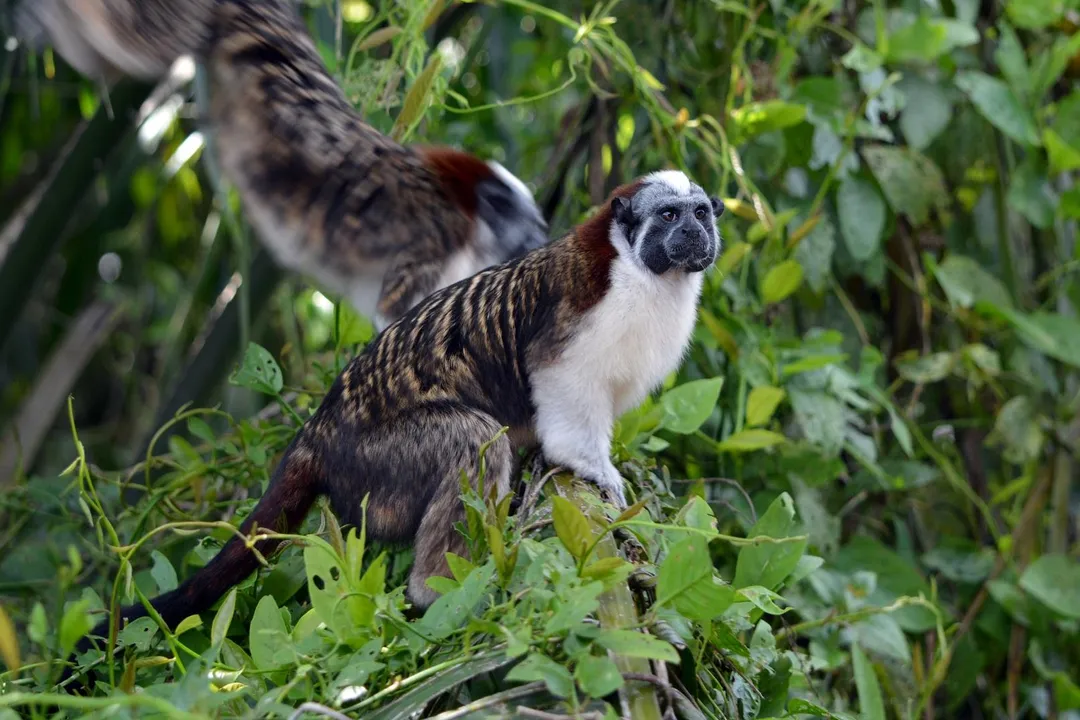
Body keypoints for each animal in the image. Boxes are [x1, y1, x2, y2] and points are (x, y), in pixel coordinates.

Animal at [13, 0, 549, 327]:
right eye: (533, 228)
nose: (541, 241)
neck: (470, 219)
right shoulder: (433, 235)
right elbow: (395, 318)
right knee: (147, 43)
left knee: (115, 60)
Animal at [60, 170, 723, 688]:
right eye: (668, 216)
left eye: (700, 212)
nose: (694, 232)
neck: (644, 274)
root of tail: (318, 432)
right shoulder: (583, 317)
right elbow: (559, 388)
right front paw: (590, 467)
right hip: (375, 466)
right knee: (471, 438)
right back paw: (439, 593)